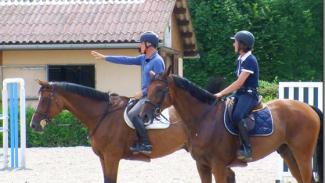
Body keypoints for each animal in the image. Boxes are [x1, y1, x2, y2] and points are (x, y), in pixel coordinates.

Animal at [139, 67, 322, 183]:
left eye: (160, 90)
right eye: (148, 89)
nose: (144, 115)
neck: (204, 118)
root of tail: (307, 107)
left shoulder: (218, 166)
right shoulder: (202, 165)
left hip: (302, 155)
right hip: (288, 154)